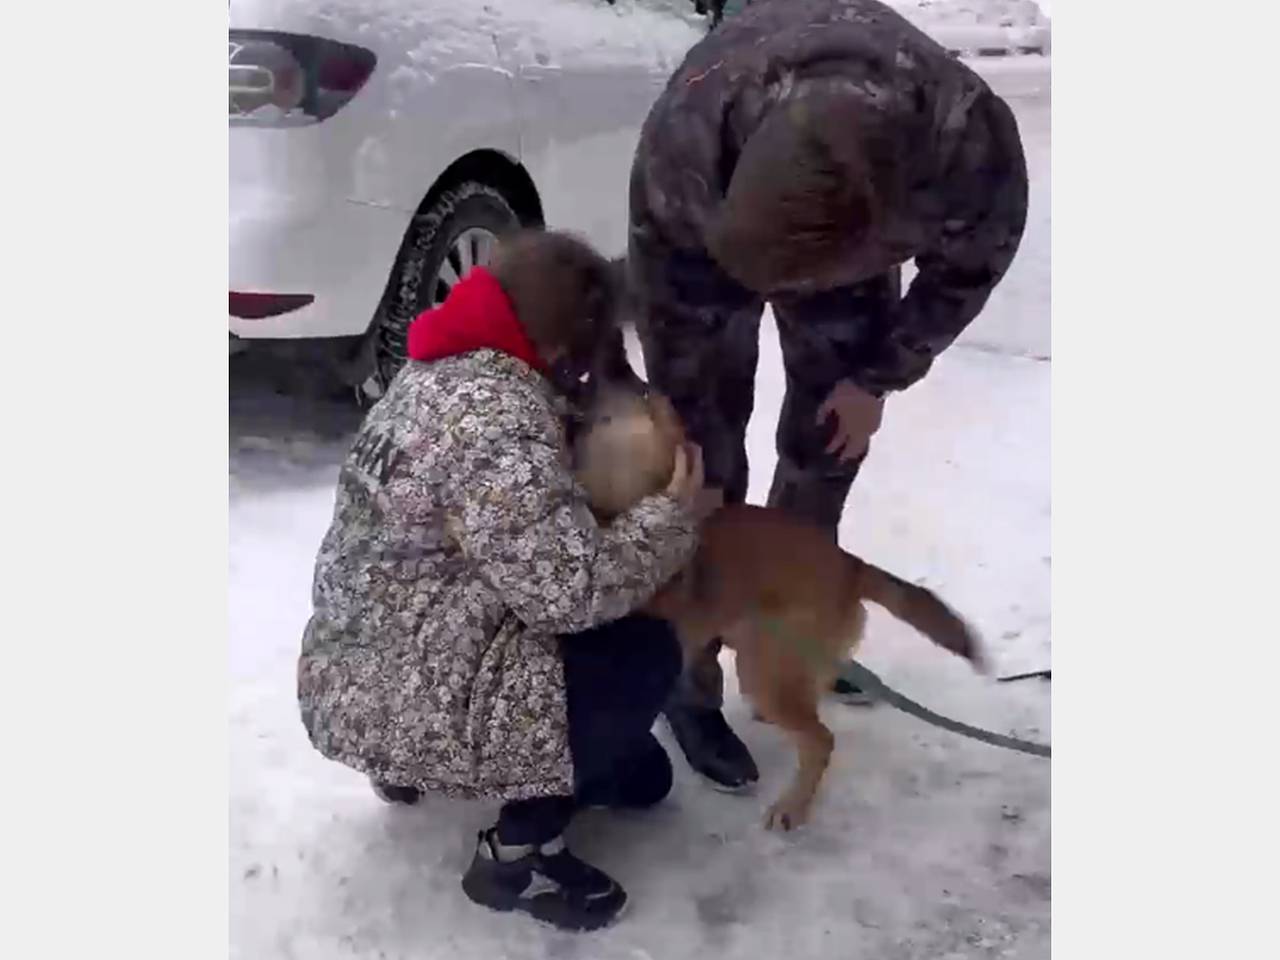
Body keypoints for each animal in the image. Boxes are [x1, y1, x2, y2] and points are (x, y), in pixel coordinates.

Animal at [576, 384, 983, 834]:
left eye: (646, 399)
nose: (609, 373)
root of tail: (849, 564)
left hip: (764, 665)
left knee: (820, 740)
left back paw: (793, 804)